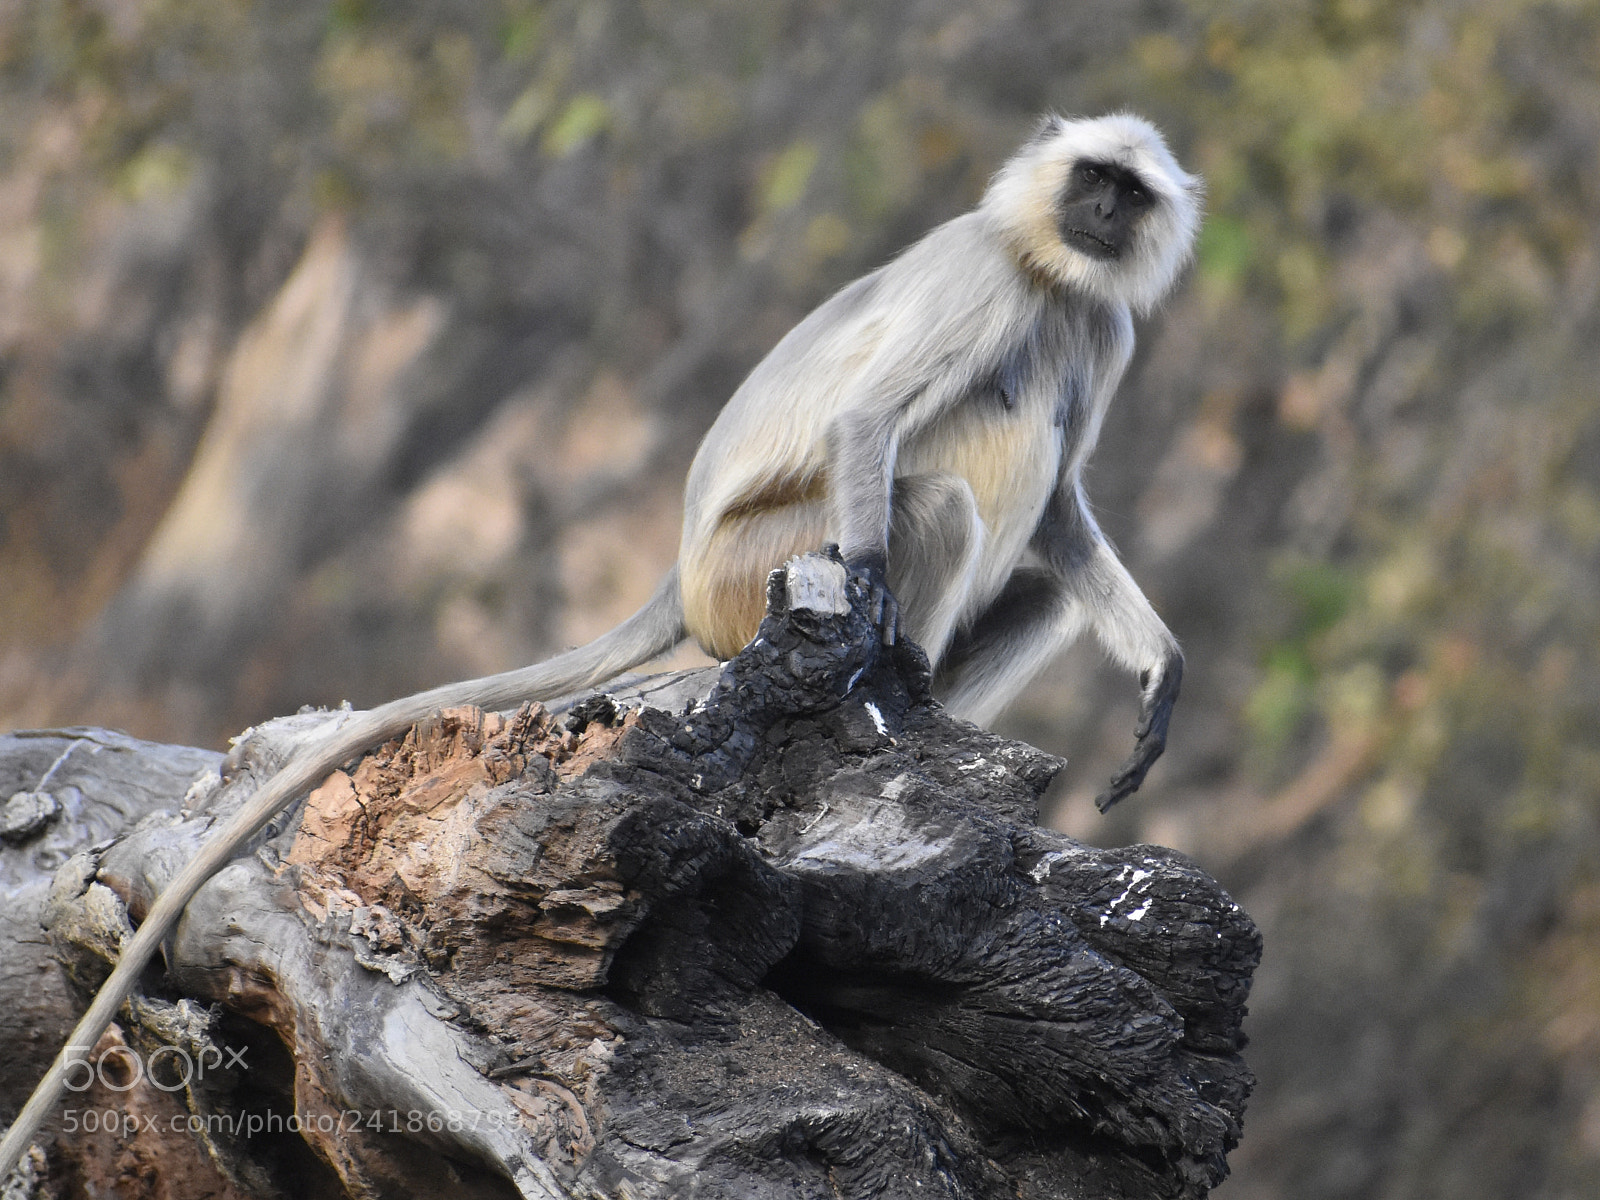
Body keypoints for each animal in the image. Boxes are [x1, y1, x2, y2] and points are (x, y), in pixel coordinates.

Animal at [0, 112, 1199, 1174]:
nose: (1099, 210)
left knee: (1043, 574)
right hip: (752, 567)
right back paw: (893, 699)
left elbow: (1062, 517)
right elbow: (868, 423)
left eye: (1128, 193)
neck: (1049, 270)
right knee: (945, 487)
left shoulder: (1107, 326)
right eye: (1093, 176)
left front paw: (1162, 672)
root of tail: (681, 573)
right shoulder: (988, 278)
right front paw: (872, 619)